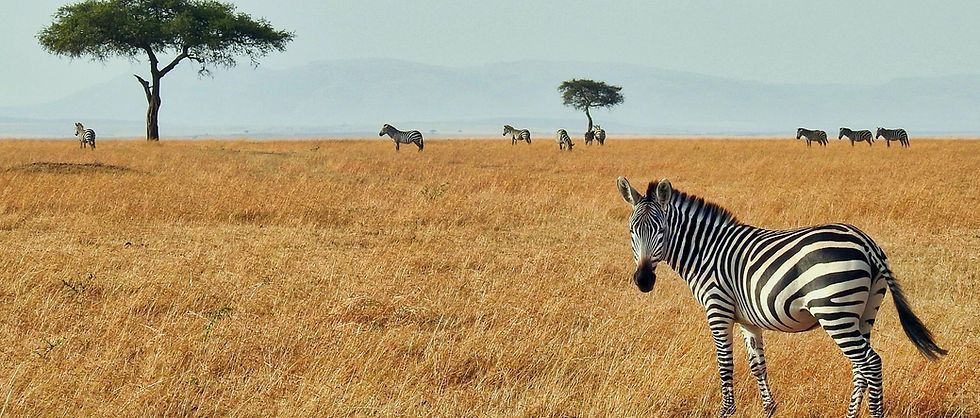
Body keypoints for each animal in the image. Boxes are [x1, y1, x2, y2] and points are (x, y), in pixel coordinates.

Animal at [616, 177, 944, 418]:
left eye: (660, 229)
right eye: (632, 230)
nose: (643, 281)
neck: (706, 250)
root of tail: (866, 242)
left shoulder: (718, 309)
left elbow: (725, 363)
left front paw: (727, 411)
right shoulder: (748, 319)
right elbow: (757, 364)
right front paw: (769, 409)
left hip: (834, 311)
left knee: (871, 363)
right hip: (864, 312)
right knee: (861, 367)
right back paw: (850, 415)